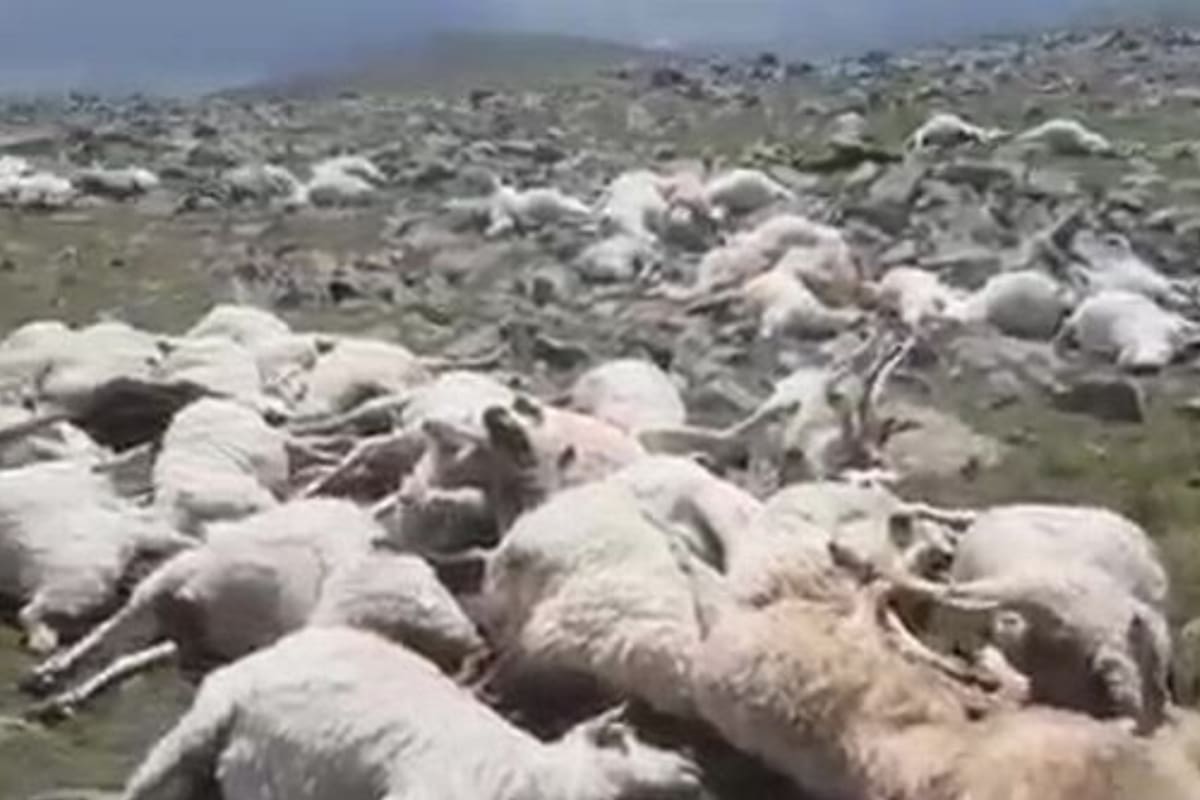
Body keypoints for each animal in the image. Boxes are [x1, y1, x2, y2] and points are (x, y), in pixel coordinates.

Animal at [27, 499, 483, 717]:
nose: (470, 648)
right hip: (173, 578)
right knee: (117, 625)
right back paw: (53, 673)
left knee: (131, 649)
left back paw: (62, 690)